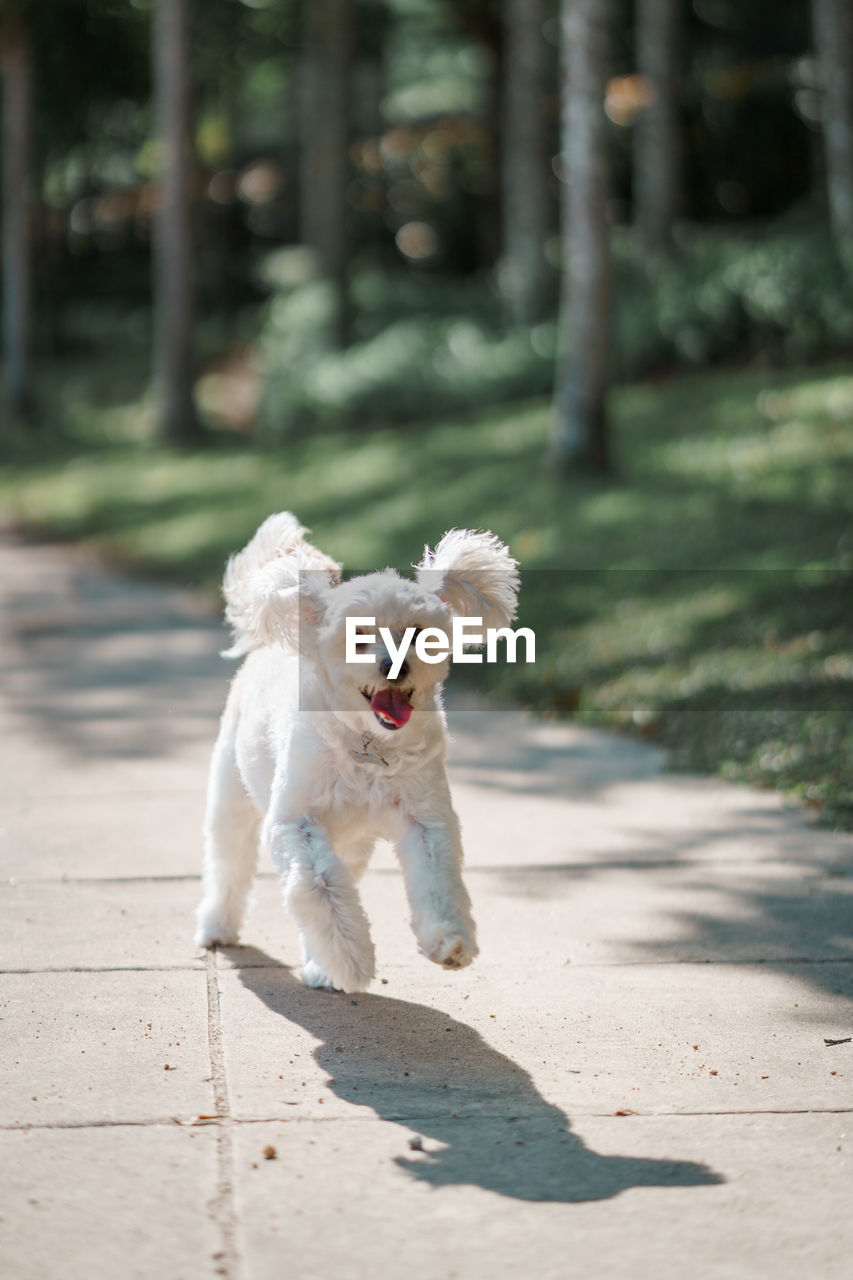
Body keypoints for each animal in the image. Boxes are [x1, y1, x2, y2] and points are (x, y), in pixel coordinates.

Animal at [194, 514, 517, 993]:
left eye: (418, 633)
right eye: (358, 636)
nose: (394, 666)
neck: (368, 747)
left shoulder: (426, 820)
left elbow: (436, 882)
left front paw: (449, 941)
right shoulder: (294, 824)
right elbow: (318, 888)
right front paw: (351, 960)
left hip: (351, 843)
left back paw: (317, 964)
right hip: (231, 796)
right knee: (228, 863)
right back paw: (218, 926)